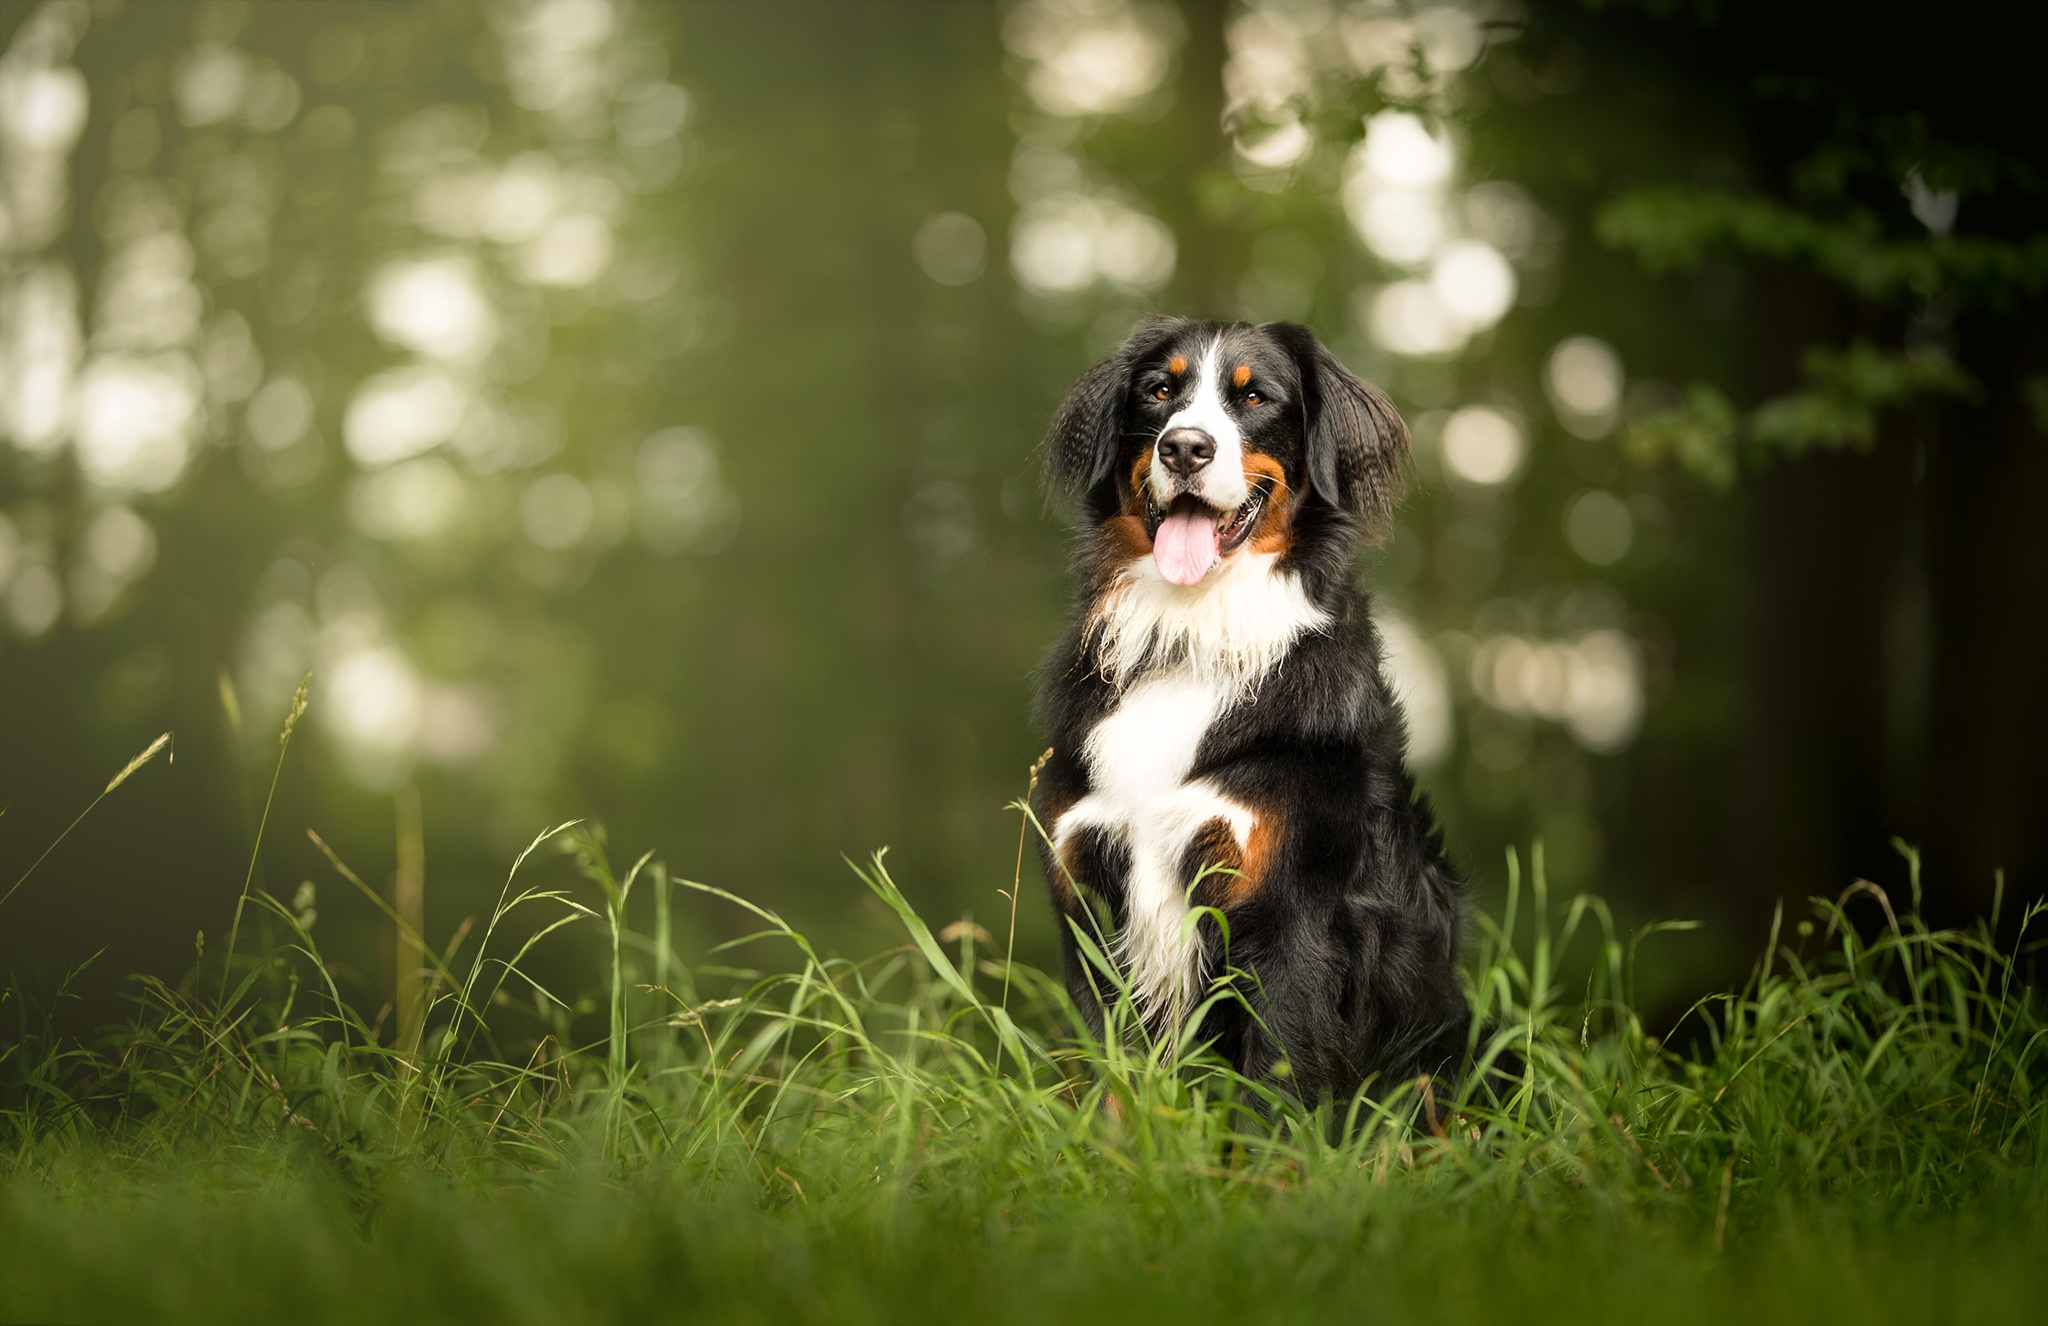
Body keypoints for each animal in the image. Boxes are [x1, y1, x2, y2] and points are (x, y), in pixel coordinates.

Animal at [1040, 313, 1474, 1106]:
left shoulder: (1287, 916)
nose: (1184, 446)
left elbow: (1269, 1092)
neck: (1192, 631)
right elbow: (1114, 1085)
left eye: (1255, 398)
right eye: (1160, 391)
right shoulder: (1088, 892)